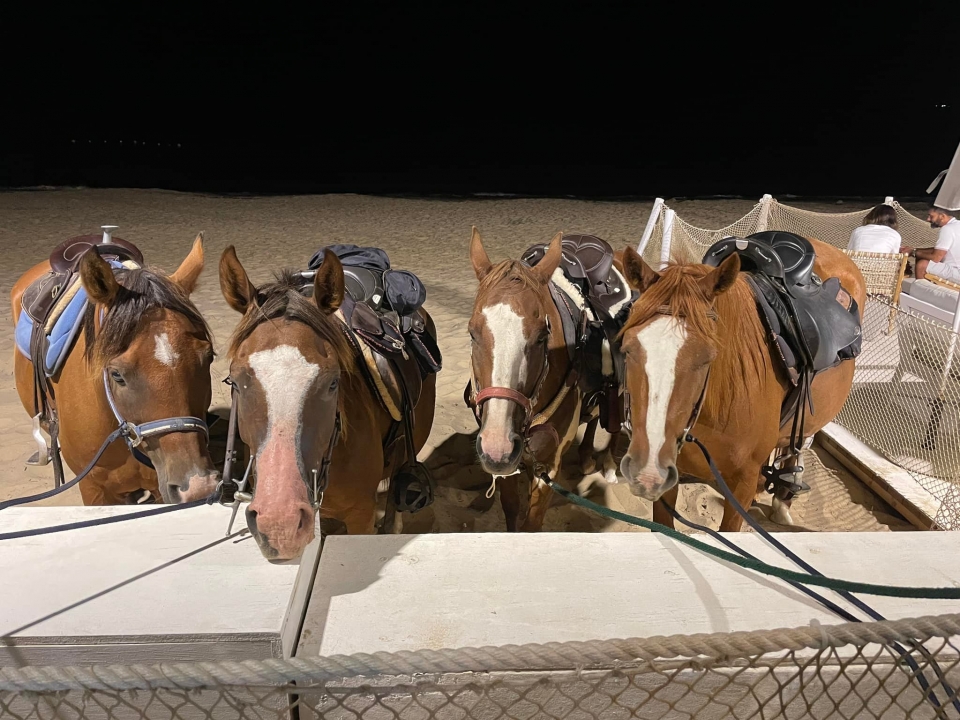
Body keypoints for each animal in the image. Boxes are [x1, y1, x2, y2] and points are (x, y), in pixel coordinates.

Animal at [468, 228, 618, 531]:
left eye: (541, 336)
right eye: (472, 333)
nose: (496, 448)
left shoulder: (548, 467)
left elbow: (532, 525)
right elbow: (511, 508)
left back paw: (603, 465)